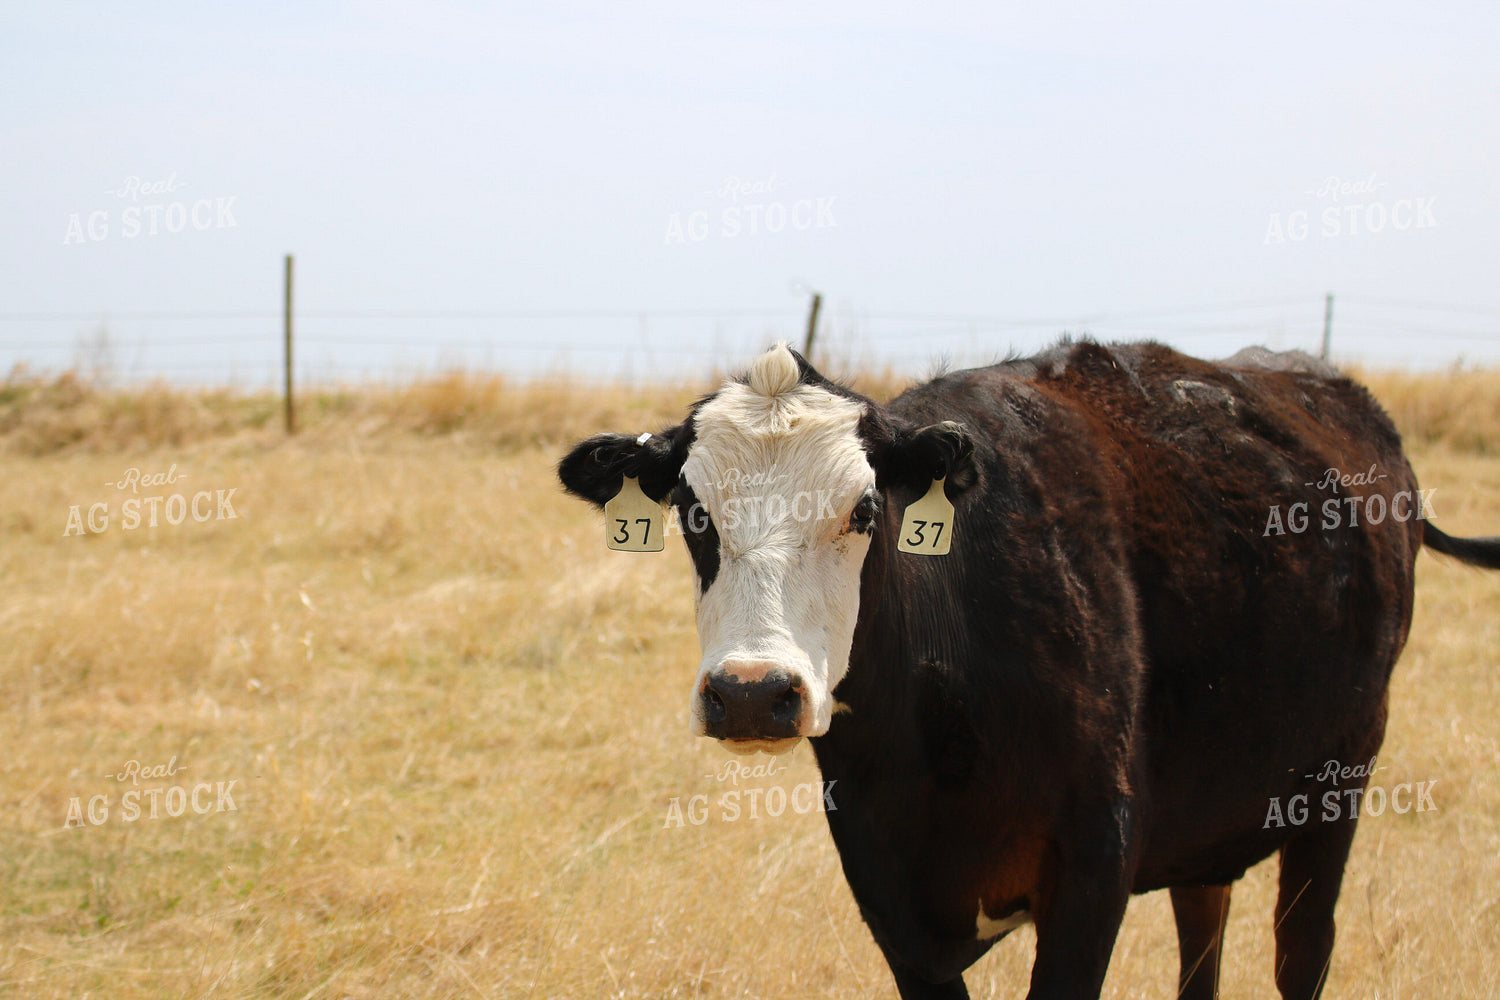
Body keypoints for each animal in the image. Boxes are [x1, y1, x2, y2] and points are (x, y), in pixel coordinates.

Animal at [556, 339, 1500, 1000]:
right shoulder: (890, 896)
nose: (752, 693)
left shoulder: (1092, 867)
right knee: (1204, 926)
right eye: (692, 511)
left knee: (1301, 952)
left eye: (863, 510)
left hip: (1337, 785)